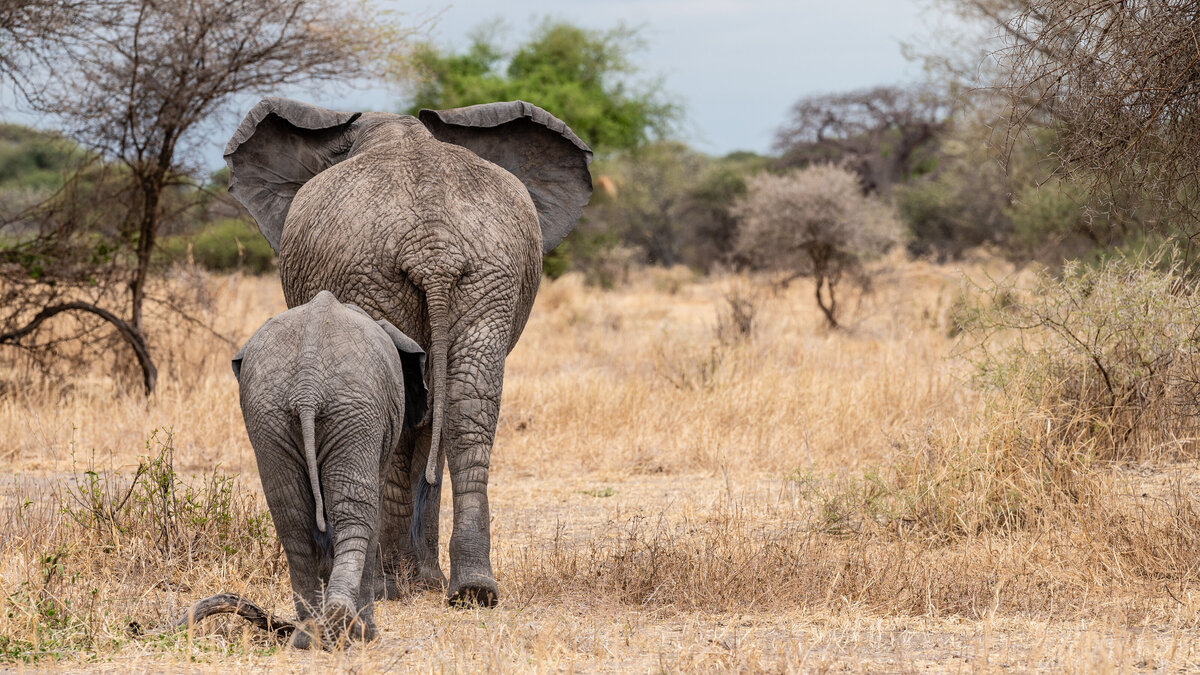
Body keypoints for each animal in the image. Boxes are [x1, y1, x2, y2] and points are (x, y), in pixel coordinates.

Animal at [224, 97, 593, 606]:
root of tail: (432, 246)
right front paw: (428, 580)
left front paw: (410, 581)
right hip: (482, 275)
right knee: (468, 409)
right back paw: (471, 589)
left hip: (376, 275)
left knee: (411, 419)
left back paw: (393, 586)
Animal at [232, 290, 428, 648]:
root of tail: (307, 388)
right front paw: (367, 634)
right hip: (355, 412)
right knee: (355, 513)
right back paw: (348, 627)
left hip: (269, 415)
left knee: (292, 519)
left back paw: (310, 634)